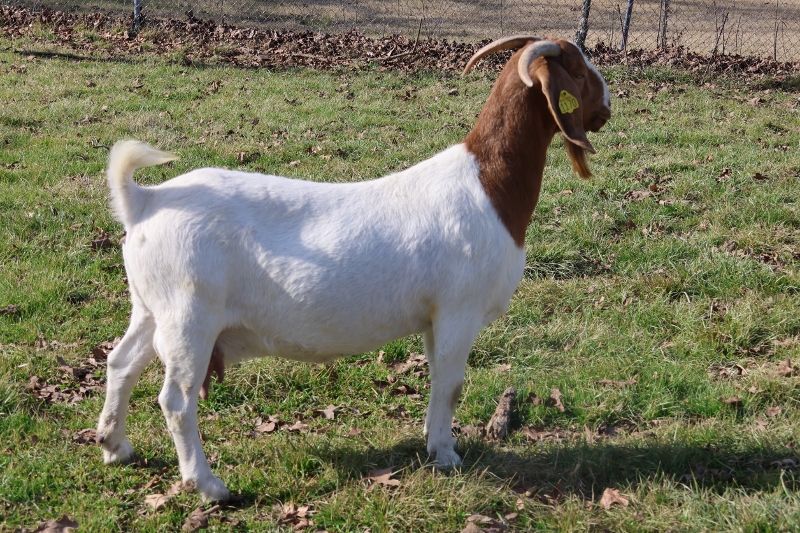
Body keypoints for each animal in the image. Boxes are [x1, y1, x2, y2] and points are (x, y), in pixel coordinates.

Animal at [97, 35, 611, 501]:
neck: (488, 185)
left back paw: (114, 446)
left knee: (121, 362)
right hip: (190, 316)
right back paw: (208, 485)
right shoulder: (457, 311)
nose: (607, 106)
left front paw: (432, 444)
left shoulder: (432, 318)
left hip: (152, 308)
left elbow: (436, 379)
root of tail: (145, 201)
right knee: (177, 400)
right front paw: (447, 455)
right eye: (579, 72)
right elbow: (450, 383)